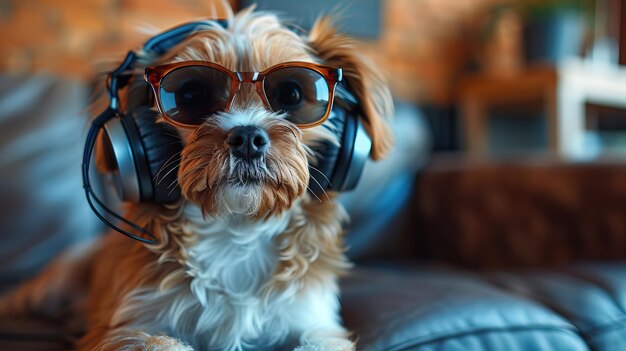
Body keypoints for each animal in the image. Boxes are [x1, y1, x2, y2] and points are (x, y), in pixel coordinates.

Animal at [0, 5, 390, 351]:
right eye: (190, 95)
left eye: (292, 93)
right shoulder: (127, 327)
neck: (236, 227)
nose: (247, 137)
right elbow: (163, 343)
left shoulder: (316, 322)